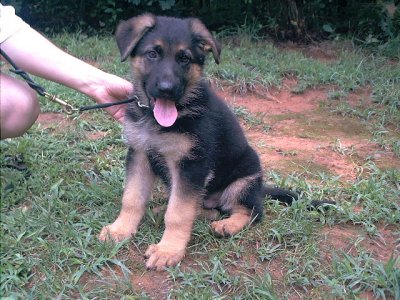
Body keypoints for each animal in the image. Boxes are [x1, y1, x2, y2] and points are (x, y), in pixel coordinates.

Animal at [100, 14, 304, 270]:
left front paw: (168, 250)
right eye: (152, 54)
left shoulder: (192, 165)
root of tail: (259, 186)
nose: (167, 90)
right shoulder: (139, 153)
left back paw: (228, 225)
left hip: (243, 180)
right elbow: (132, 198)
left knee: (252, 211)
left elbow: (178, 213)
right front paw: (120, 229)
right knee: (207, 207)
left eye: (184, 58)